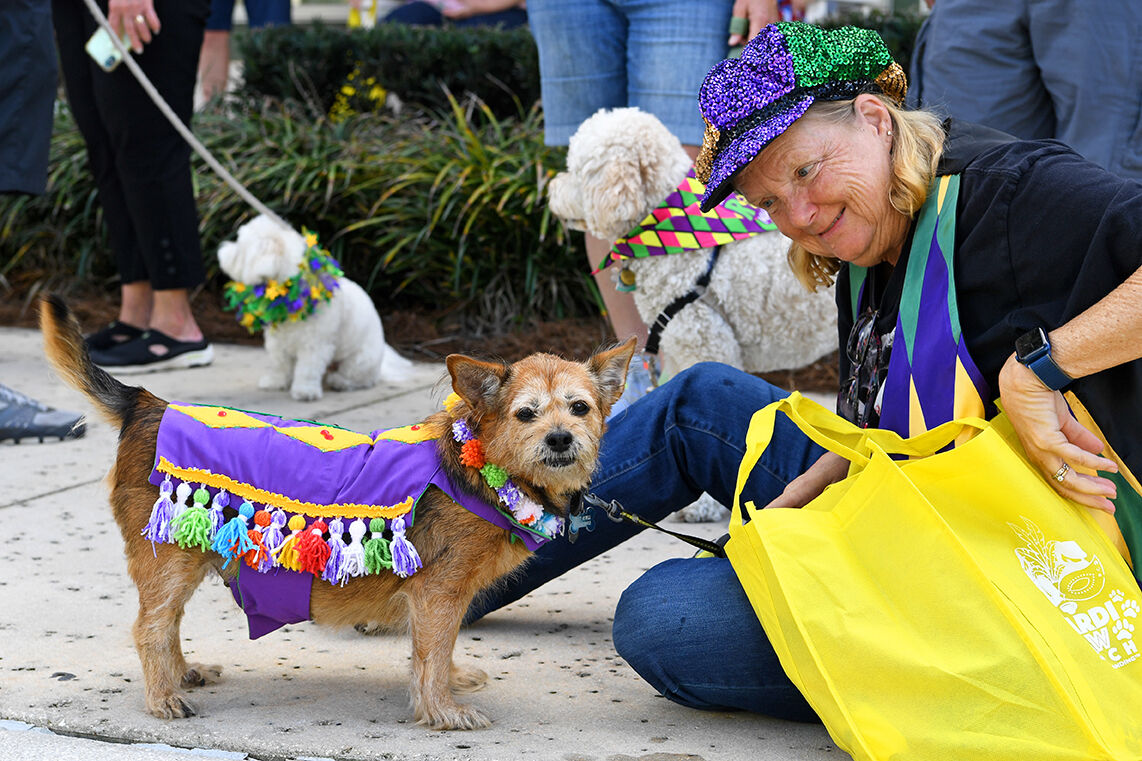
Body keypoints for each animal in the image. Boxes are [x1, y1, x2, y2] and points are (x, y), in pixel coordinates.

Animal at [42, 292, 634, 726]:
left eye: (580, 408)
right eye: (525, 414)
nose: (560, 439)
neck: (485, 469)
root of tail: (147, 403)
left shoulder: (443, 599)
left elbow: (436, 651)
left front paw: (449, 683)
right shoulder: (438, 593)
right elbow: (430, 654)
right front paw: (441, 711)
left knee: (167, 626)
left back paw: (182, 674)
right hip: (169, 563)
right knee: (151, 627)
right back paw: (163, 696)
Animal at [215, 213, 413, 399]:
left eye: (239, 247)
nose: (221, 250)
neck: (290, 295)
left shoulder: (315, 345)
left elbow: (307, 369)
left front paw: (305, 391)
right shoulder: (277, 342)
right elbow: (279, 364)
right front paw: (275, 381)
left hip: (360, 360)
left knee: (359, 378)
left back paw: (339, 381)